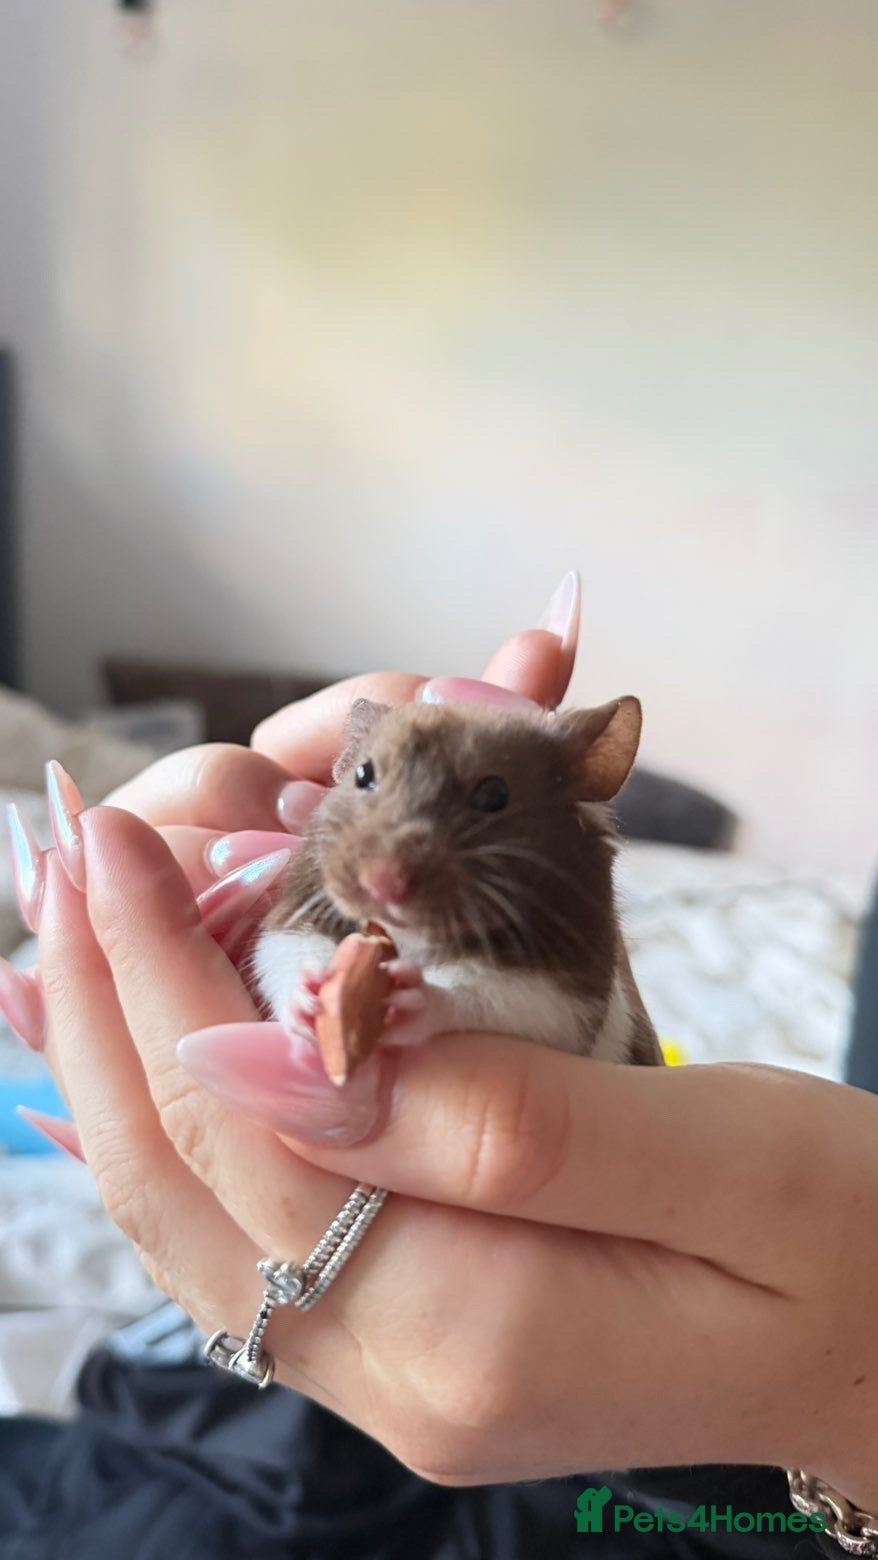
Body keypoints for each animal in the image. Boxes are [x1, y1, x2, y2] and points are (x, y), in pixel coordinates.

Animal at [254, 696, 662, 1067]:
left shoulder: (568, 994)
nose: (381, 883)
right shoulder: (300, 910)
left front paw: (412, 1000)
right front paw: (311, 996)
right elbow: (284, 949)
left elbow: (487, 993)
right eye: (363, 775)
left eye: (493, 793)